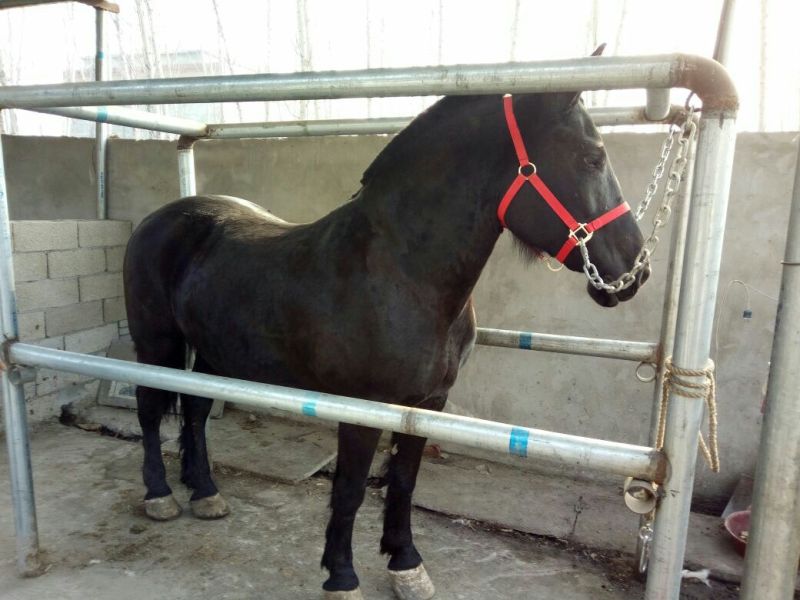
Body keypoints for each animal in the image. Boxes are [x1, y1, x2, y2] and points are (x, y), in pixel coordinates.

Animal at [124, 75, 648, 600]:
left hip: (213, 352)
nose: (634, 270)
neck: (401, 273)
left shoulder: (427, 403)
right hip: (156, 344)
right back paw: (160, 495)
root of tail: (157, 219)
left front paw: (406, 565)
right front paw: (341, 576)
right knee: (149, 408)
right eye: (592, 157)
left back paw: (205, 492)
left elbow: (403, 482)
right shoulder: (363, 407)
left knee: (195, 410)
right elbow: (351, 489)